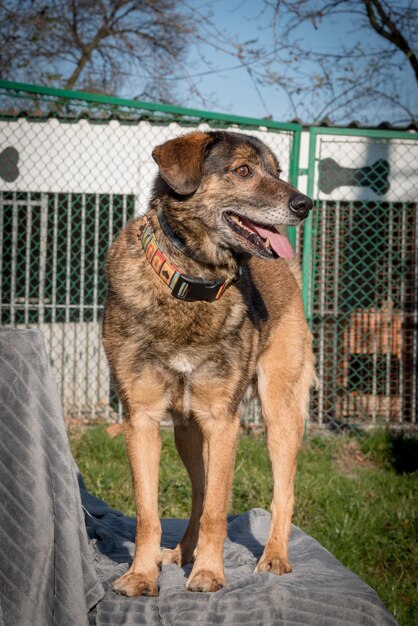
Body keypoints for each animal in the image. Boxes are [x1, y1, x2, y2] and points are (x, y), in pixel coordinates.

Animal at [103, 130, 316, 596]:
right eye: (243, 170)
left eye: (277, 171)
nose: (306, 204)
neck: (192, 281)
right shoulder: (141, 417)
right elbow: (148, 514)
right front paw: (141, 574)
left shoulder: (223, 420)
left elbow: (218, 511)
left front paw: (209, 573)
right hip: (187, 429)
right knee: (199, 494)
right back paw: (182, 552)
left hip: (279, 410)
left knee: (283, 491)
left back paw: (274, 556)